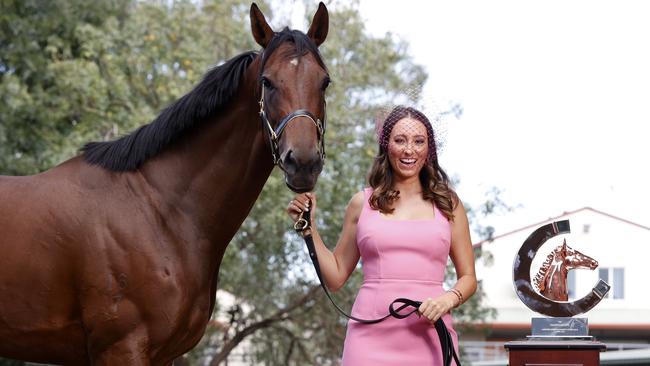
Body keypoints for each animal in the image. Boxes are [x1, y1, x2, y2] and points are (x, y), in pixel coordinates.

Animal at [0, 3, 326, 366]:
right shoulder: (121, 349)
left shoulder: (164, 354)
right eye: (267, 83)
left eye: (325, 82)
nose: (303, 162)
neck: (159, 210)